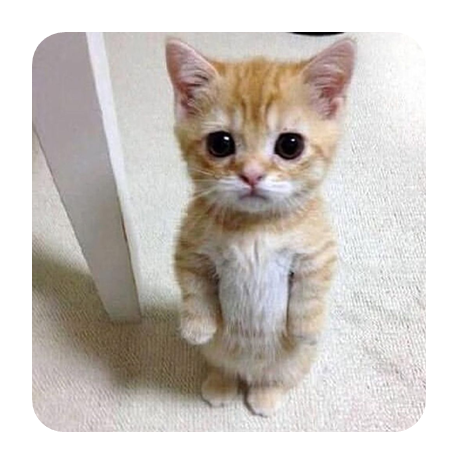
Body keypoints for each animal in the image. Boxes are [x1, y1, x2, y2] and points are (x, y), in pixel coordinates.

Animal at [166, 36, 355, 416]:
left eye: (290, 145)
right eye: (220, 143)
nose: (251, 174)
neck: (254, 228)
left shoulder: (317, 251)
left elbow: (312, 291)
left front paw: (307, 326)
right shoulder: (190, 247)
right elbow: (194, 287)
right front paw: (196, 326)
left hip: (294, 364)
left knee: (275, 378)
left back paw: (264, 396)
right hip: (218, 355)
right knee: (223, 366)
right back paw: (221, 384)